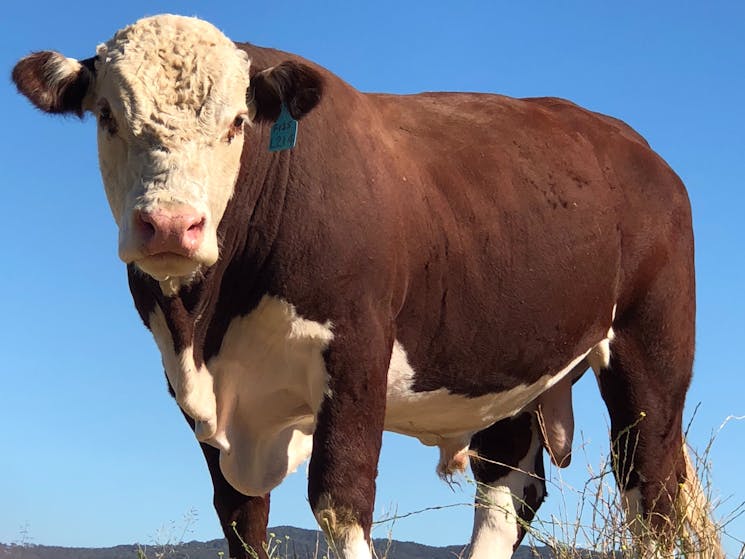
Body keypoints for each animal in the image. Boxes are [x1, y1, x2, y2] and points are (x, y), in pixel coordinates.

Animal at [11, 13, 720, 559]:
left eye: (237, 122)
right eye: (106, 115)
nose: (168, 225)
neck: (207, 325)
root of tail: (638, 148)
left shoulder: (355, 353)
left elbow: (340, 501)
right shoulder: (206, 407)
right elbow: (241, 518)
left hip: (649, 356)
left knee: (651, 493)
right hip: (511, 367)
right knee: (507, 492)